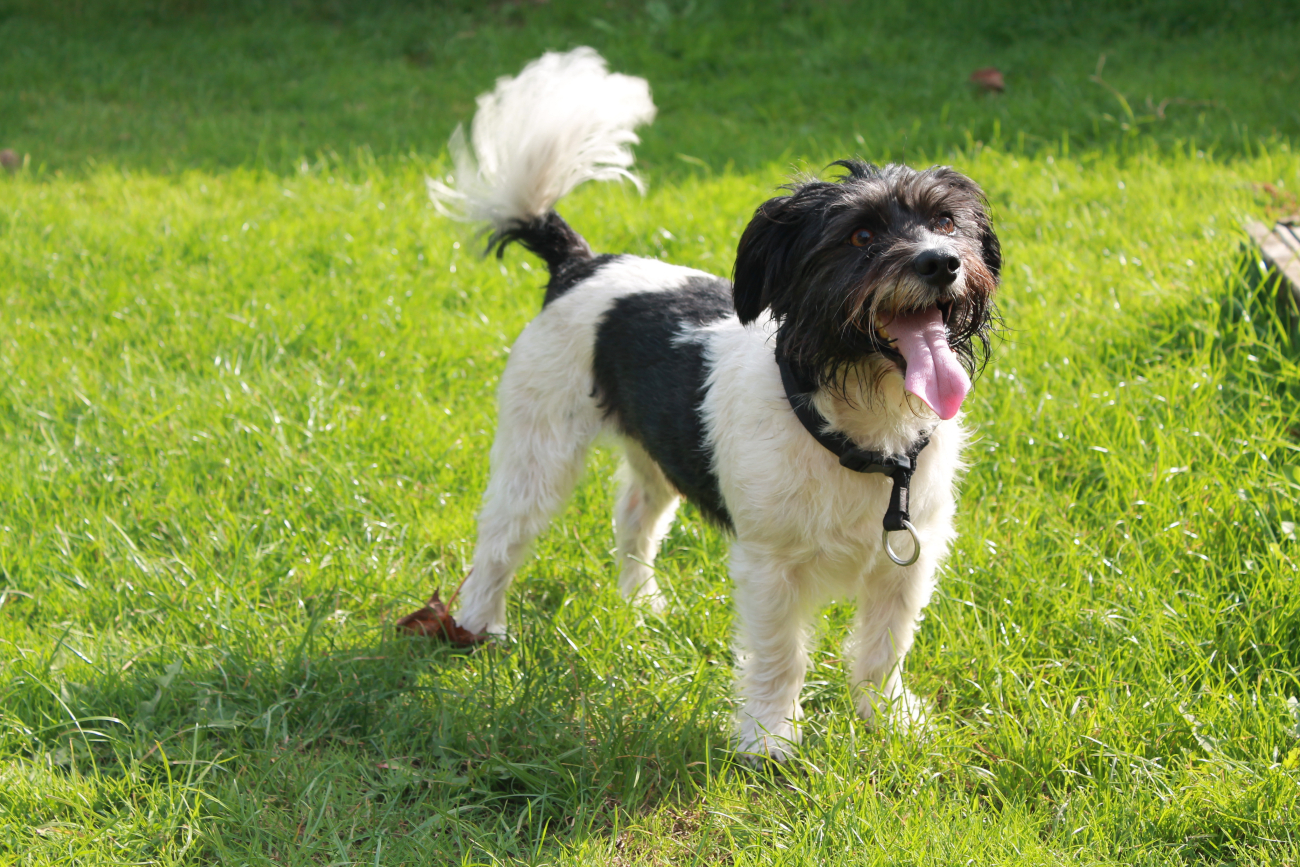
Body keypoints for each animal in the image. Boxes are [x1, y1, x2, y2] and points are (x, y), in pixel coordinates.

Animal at [421, 47, 998, 759]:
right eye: (860, 237)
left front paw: (887, 721)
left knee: (634, 516)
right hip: (539, 449)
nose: (943, 261)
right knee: (502, 536)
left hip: (656, 453)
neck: (861, 425)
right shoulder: (770, 567)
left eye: (946, 222)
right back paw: (478, 626)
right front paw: (769, 742)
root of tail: (579, 262)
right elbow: (781, 656)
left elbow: (884, 648)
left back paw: (641, 606)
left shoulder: (908, 559)